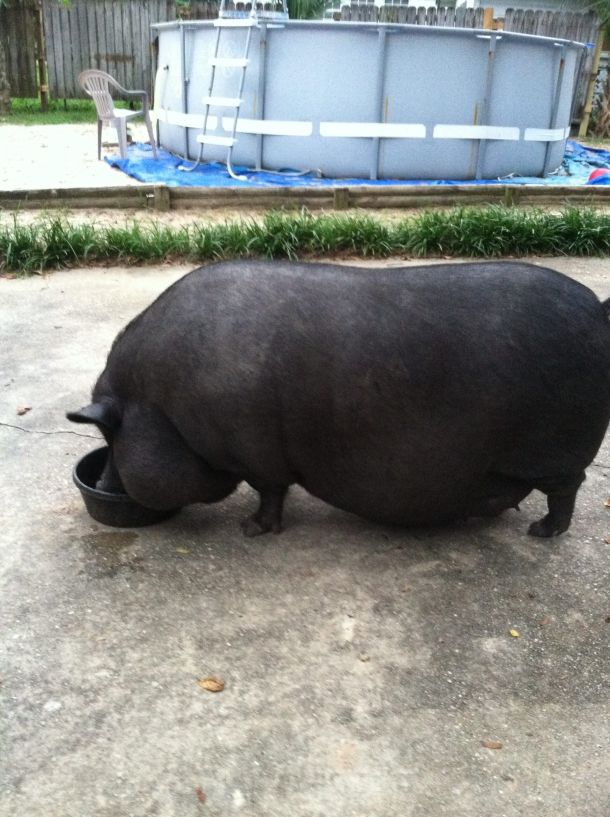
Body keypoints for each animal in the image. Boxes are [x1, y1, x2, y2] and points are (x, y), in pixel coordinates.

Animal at [67, 260, 610, 538]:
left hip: (556, 453)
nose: (104, 484)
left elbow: (269, 491)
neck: (163, 405)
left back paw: (541, 532)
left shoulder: (256, 451)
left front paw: (250, 530)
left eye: (110, 434)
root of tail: (598, 308)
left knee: (569, 489)